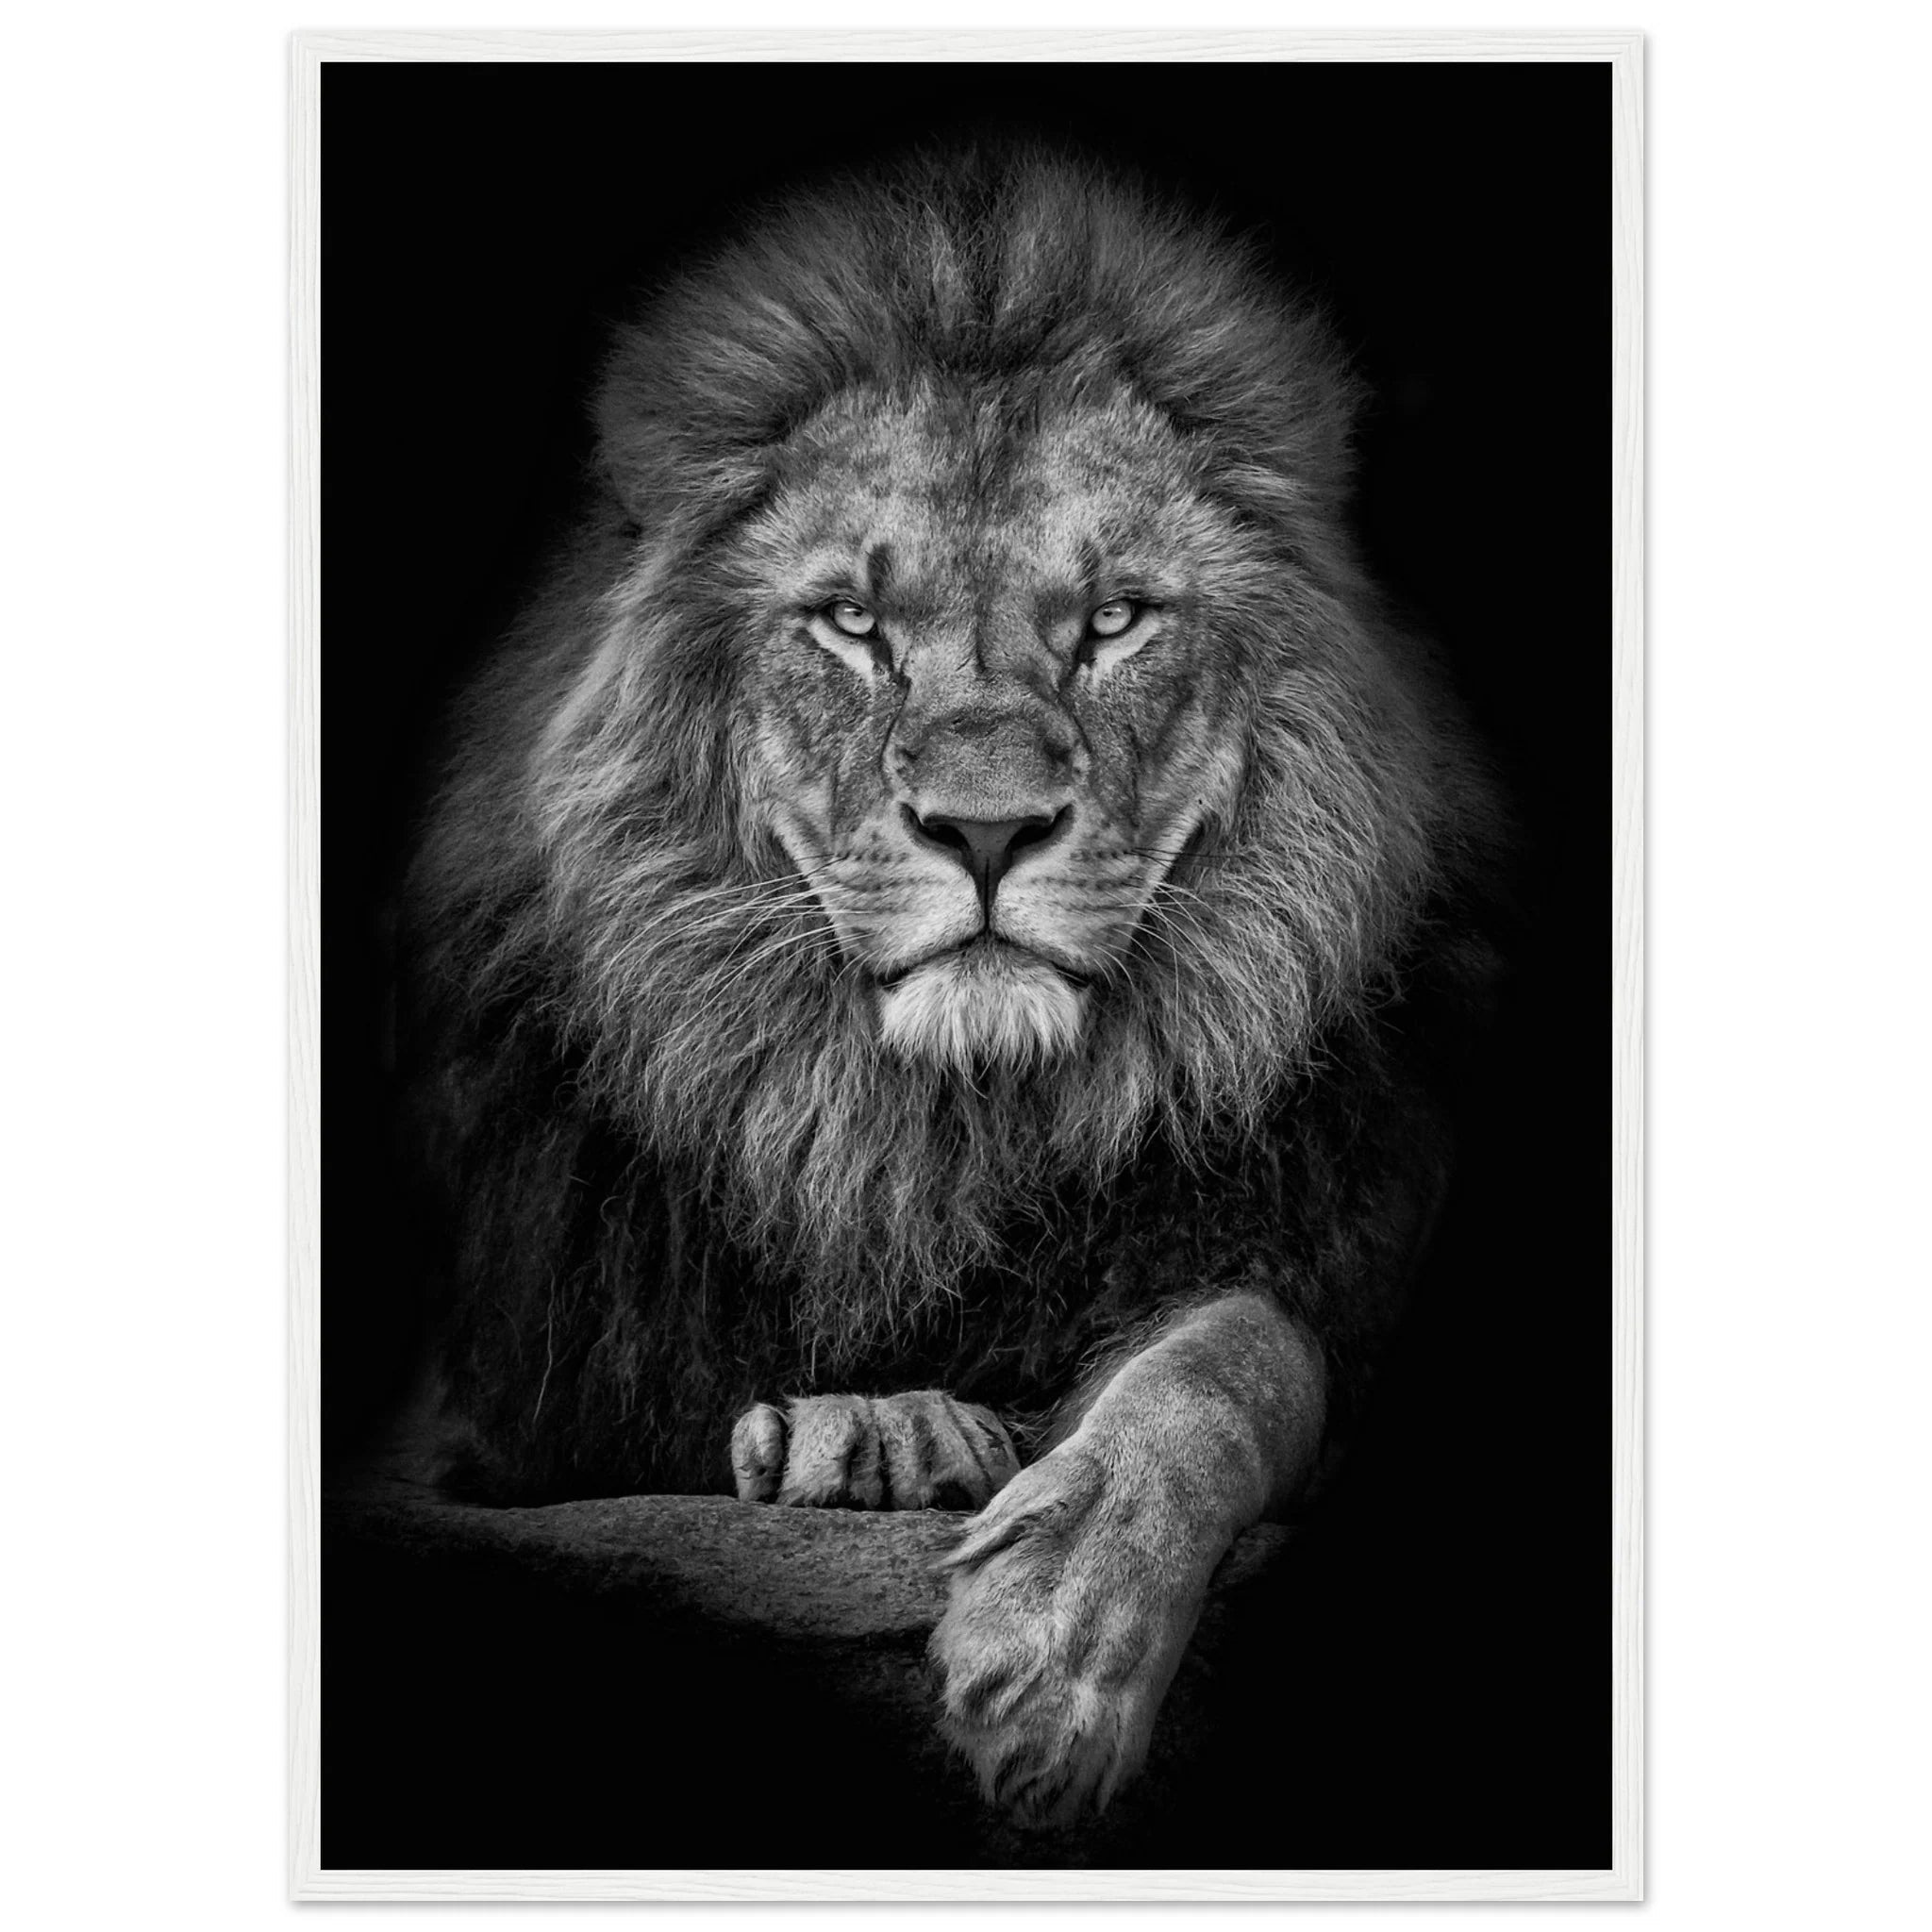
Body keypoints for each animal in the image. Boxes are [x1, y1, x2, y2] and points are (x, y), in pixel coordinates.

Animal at [396, 146, 1507, 1828]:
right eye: (855, 624)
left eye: (1112, 619)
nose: (985, 830)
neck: (934, 1135)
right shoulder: (507, 1398)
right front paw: (876, 1429)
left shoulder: (1326, 1245)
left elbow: (1229, 1362)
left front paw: (1057, 1646)